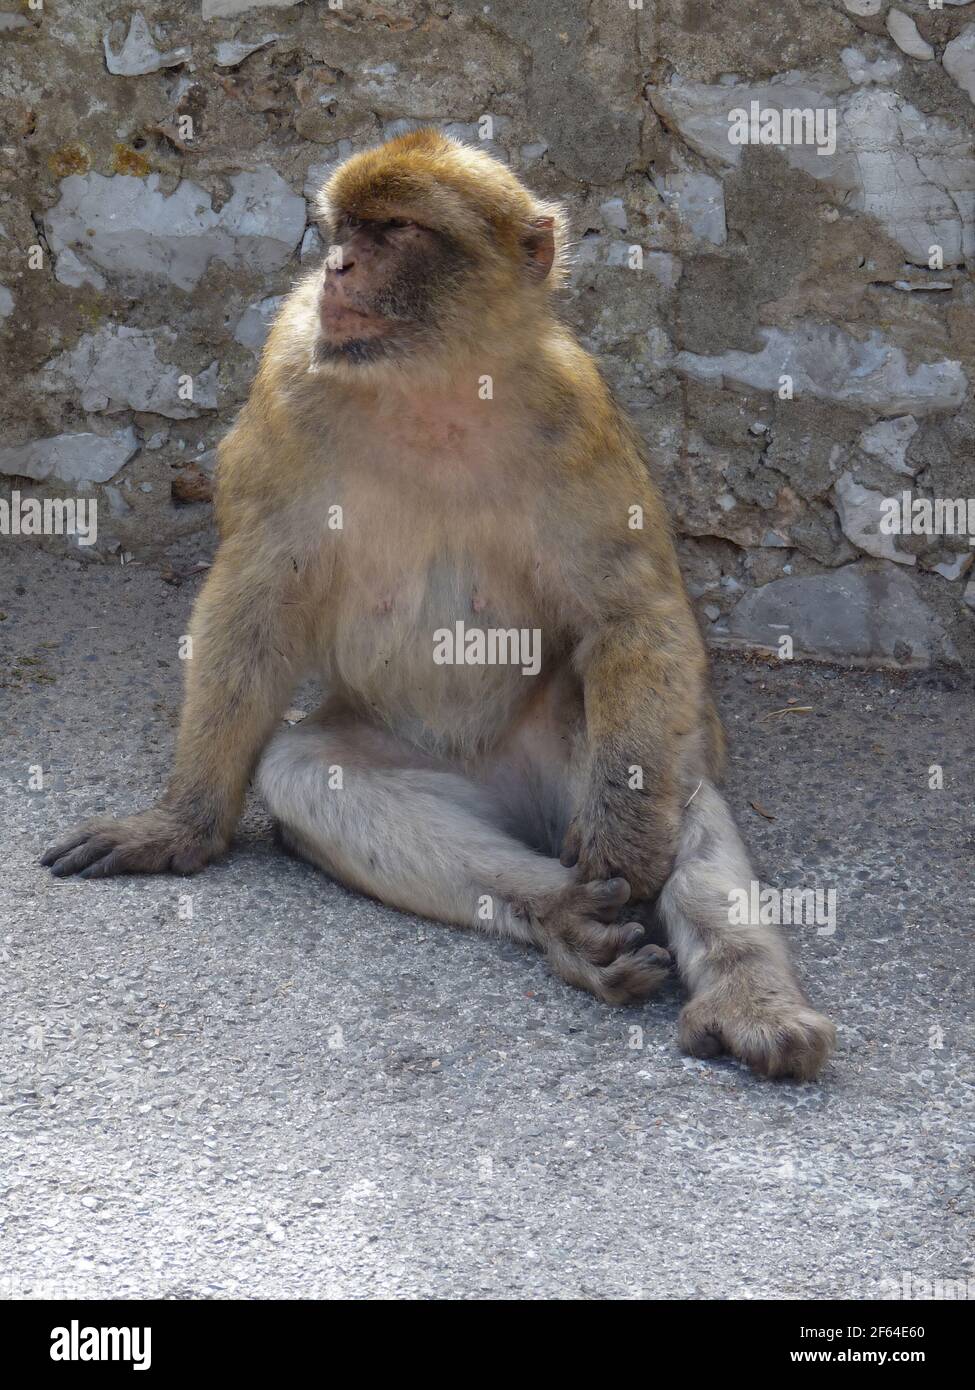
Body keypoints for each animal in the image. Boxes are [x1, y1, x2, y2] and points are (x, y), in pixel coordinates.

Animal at [45, 127, 834, 1073]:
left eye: (394, 230)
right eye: (340, 229)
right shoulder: (287, 387)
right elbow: (256, 602)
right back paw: (564, 918)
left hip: (565, 754)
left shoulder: (577, 412)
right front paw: (180, 824)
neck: (435, 386)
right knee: (308, 772)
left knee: (669, 766)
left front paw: (631, 842)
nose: (337, 268)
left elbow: (629, 618)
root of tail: (498, 781)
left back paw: (745, 995)